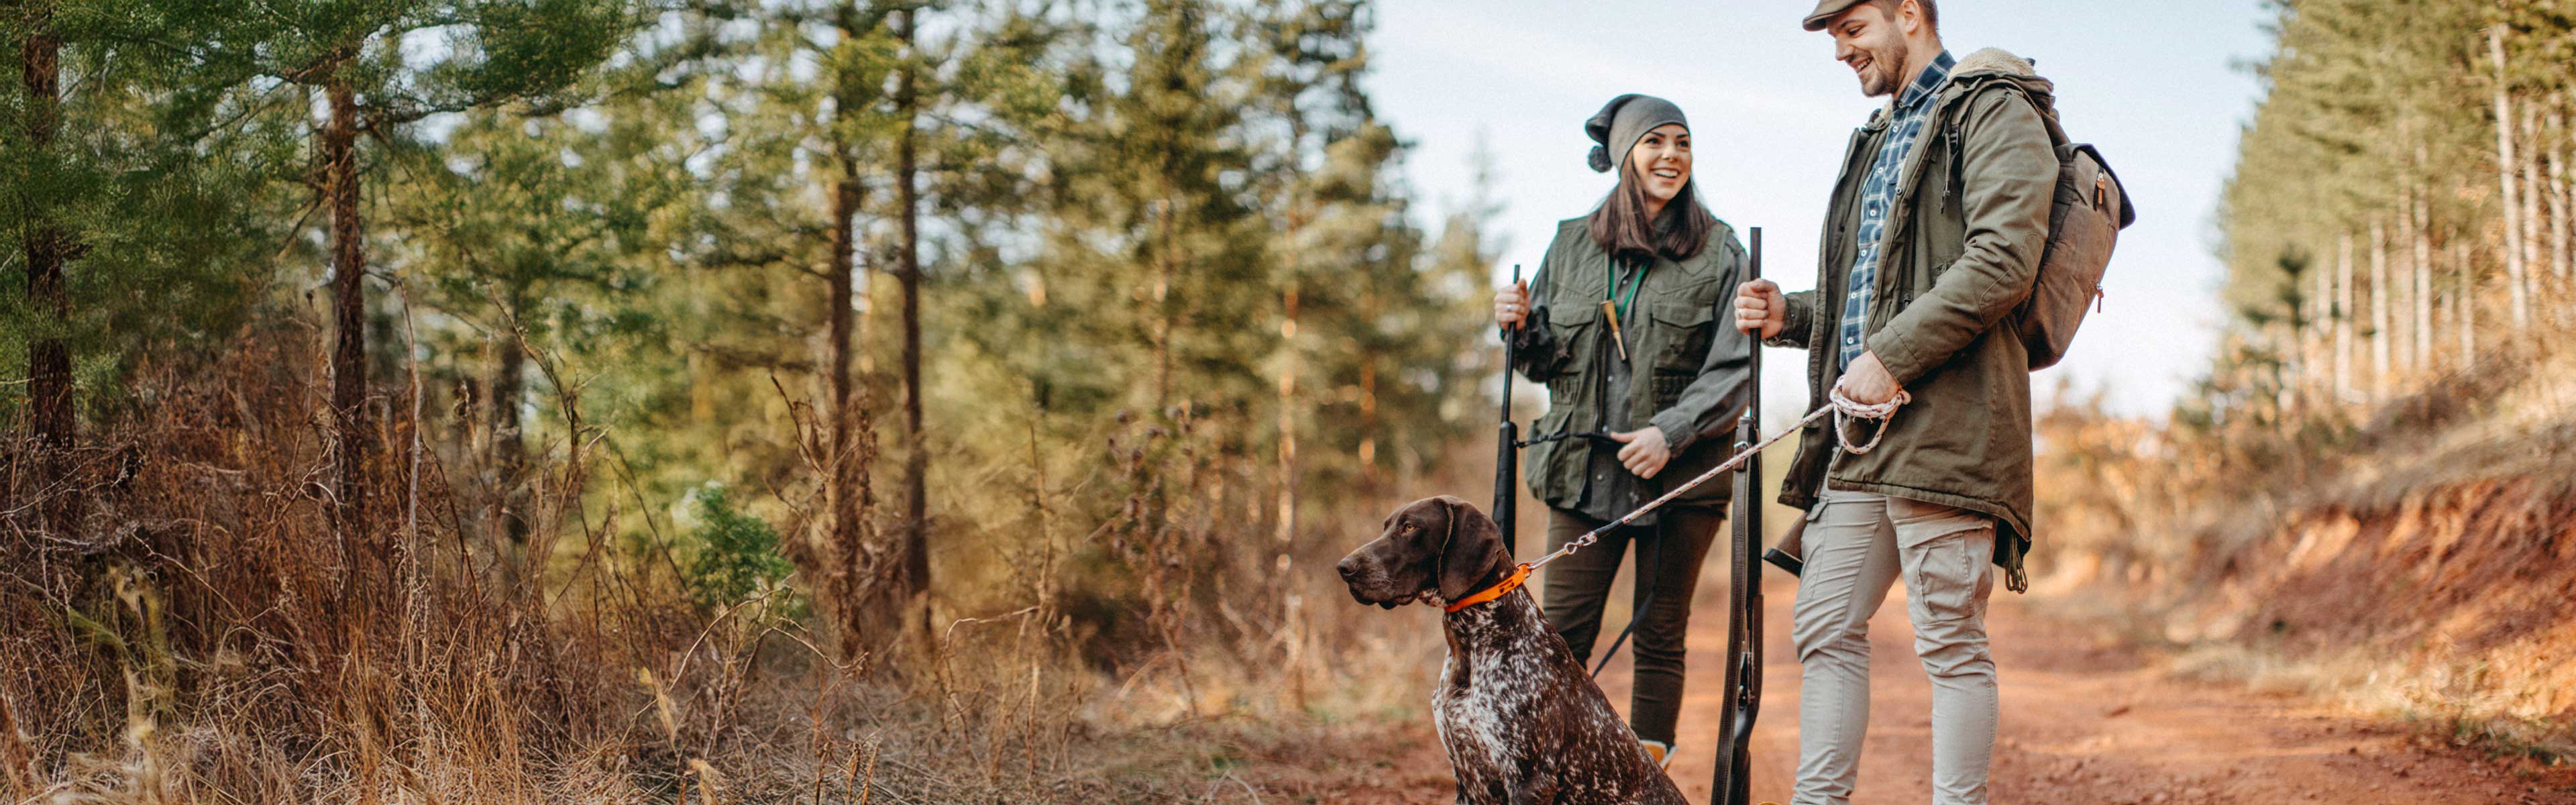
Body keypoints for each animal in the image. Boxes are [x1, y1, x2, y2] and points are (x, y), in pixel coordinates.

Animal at [1339, 498, 1679, 805]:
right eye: (1386, 527)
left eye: (1410, 528)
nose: (1344, 568)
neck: (1471, 646)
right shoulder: (1468, 778)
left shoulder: (1529, 781)